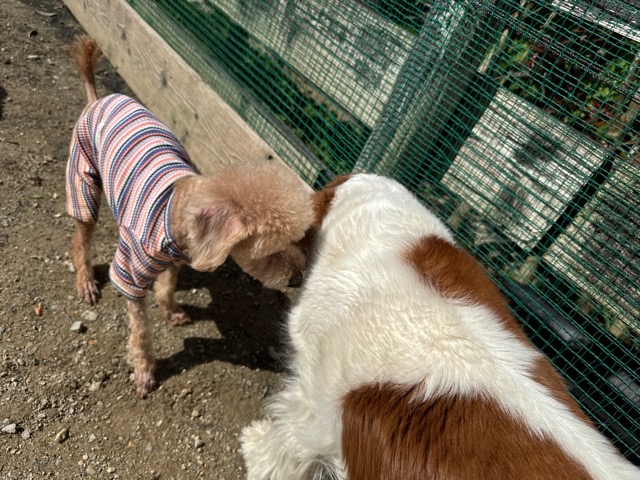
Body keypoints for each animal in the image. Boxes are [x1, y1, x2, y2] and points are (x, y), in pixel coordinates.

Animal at [65, 37, 313, 398]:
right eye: (270, 252)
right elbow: (140, 331)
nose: (298, 278)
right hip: (83, 181)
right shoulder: (129, 275)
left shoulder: (179, 258)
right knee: (80, 238)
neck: (173, 209)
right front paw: (144, 371)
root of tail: (97, 99)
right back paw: (85, 281)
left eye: (298, 239)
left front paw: (172, 311)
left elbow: (167, 286)